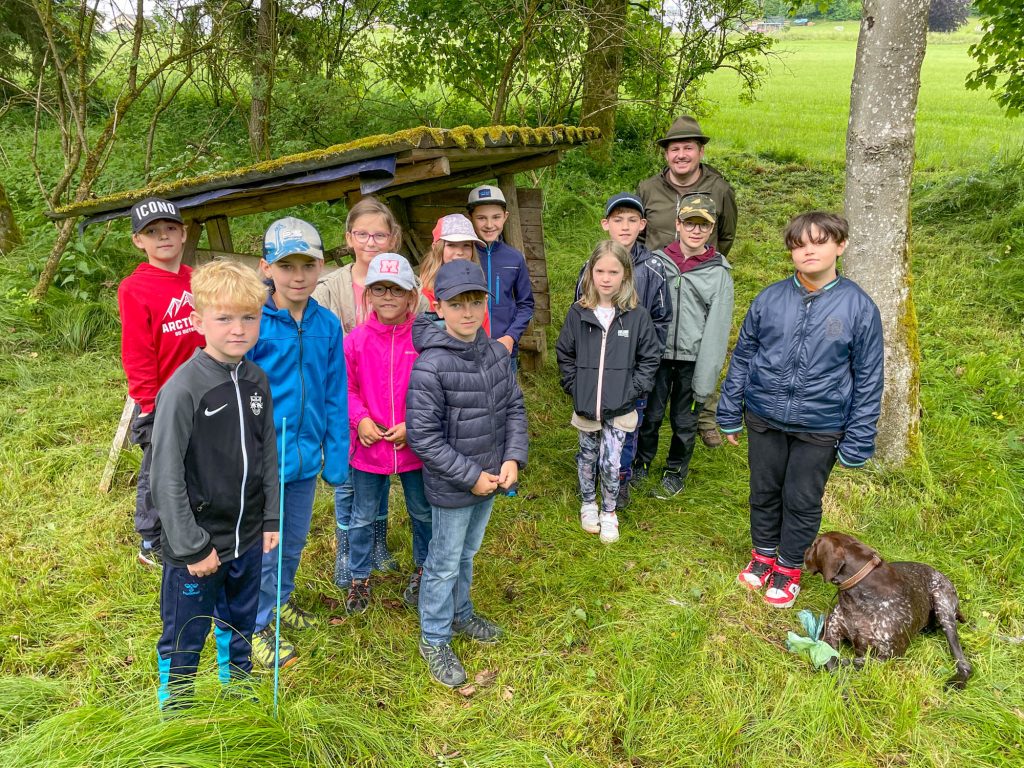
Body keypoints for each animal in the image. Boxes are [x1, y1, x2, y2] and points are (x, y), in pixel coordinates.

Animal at [806, 532, 966, 688]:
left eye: (814, 545)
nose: (805, 550)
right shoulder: (829, 636)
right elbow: (832, 661)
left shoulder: (890, 654)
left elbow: (858, 661)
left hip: (943, 608)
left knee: (964, 663)